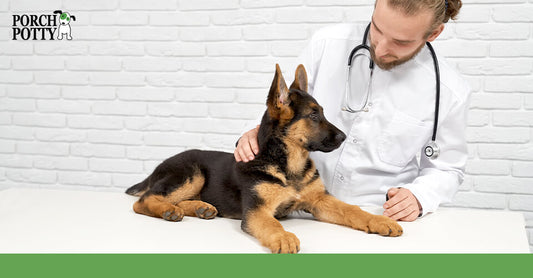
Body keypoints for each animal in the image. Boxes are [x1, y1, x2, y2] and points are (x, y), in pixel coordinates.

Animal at [125, 64, 400, 253]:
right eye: (313, 116)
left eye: (322, 113)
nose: (344, 137)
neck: (289, 165)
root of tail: (158, 168)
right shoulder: (257, 211)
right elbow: (272, 225)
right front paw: (284, 237)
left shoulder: (320, 200)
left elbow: (351, 209)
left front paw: (379, 220)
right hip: (192, 173)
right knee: (144, 201)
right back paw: (169, 210)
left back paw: (200, 208)